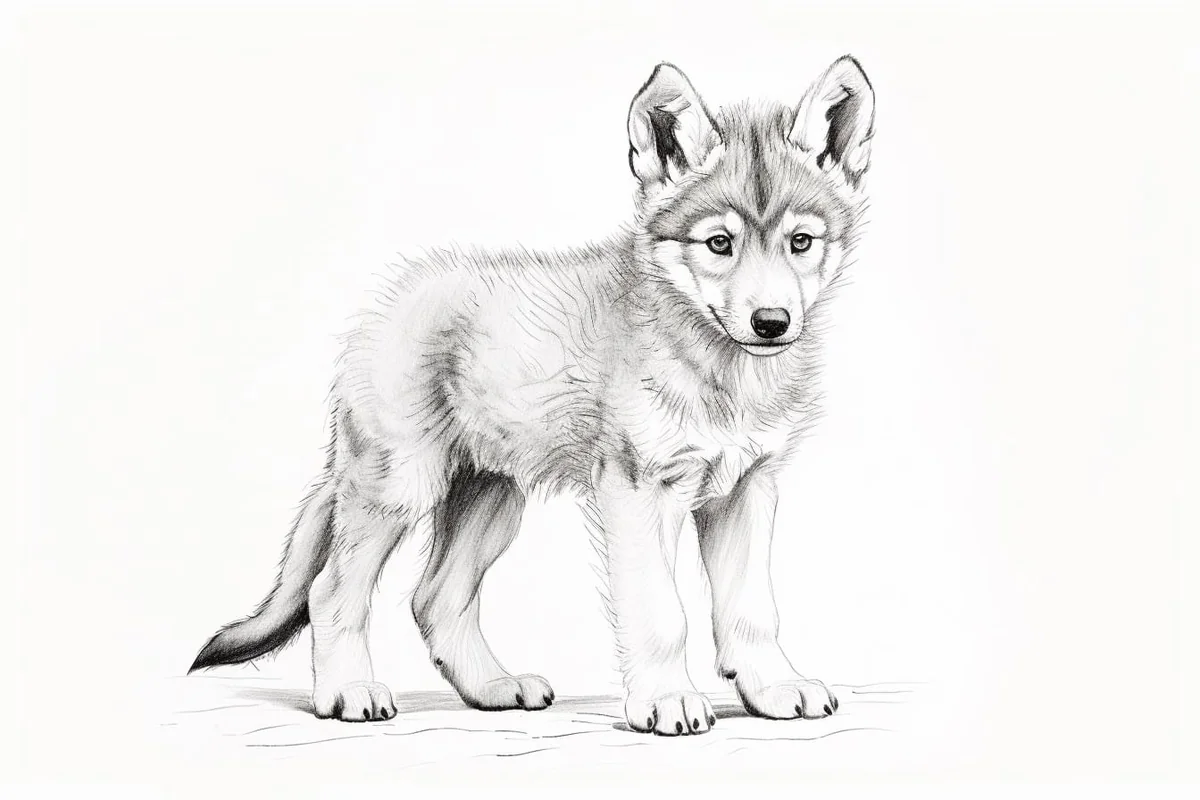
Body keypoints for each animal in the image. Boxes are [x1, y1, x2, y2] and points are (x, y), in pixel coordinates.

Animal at [190, 56, 876, 736]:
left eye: (801, 242)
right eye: (719, 244)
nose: (772, 323)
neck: (719, 370)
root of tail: (389, 302)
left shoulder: (747, 488)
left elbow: (750, 611)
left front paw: (774, 687)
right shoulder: (637, 491)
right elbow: (661, 613)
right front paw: (666, 700)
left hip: (491, 500)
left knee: (435, 599)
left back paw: (494, 687)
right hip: (401, 487)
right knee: (332, 591)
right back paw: (348, 692)